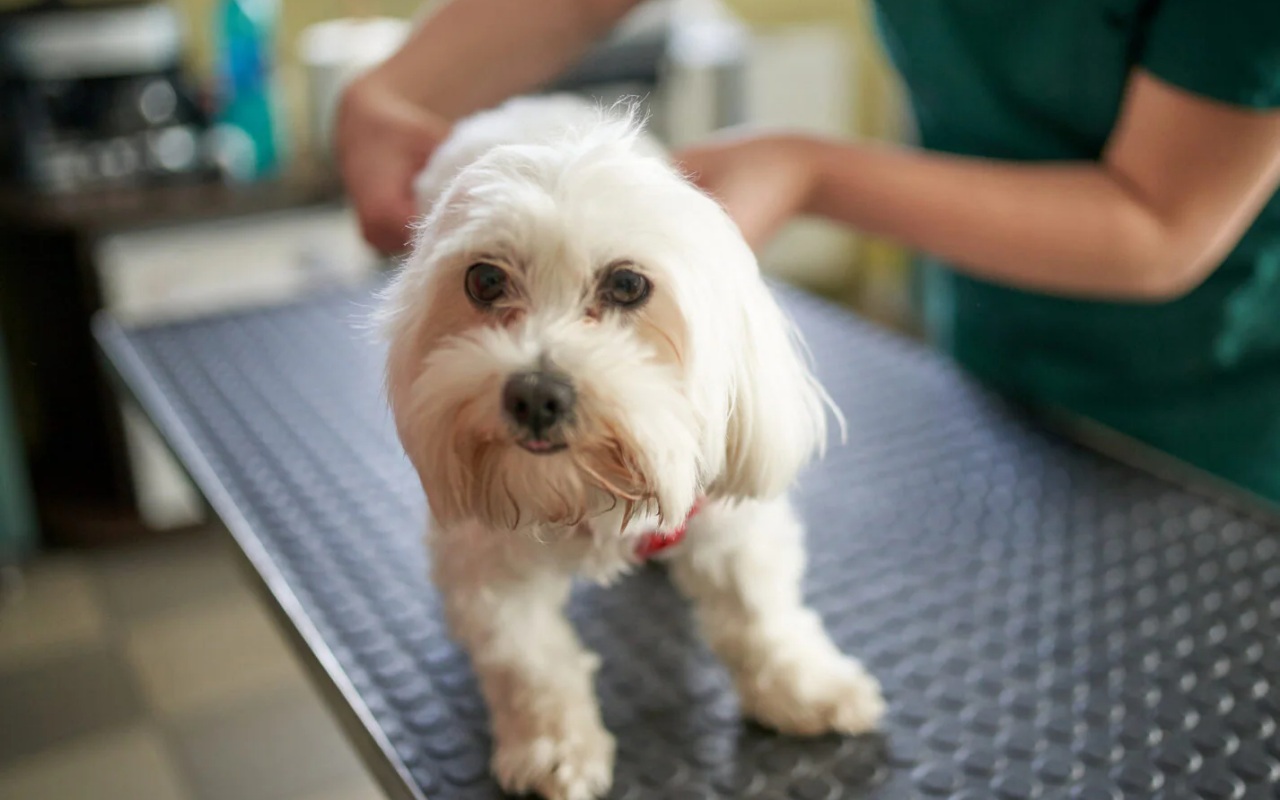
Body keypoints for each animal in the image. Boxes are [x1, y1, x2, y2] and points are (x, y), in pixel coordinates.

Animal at [378, 95, 880, 798]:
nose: (536, 394)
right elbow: (530, 662)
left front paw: (804, 688)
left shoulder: (730, 519)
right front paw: (553, 747)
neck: (585, 495)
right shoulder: (487, 561)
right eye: (484, 281)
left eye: (626, 286)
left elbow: (760, 613)